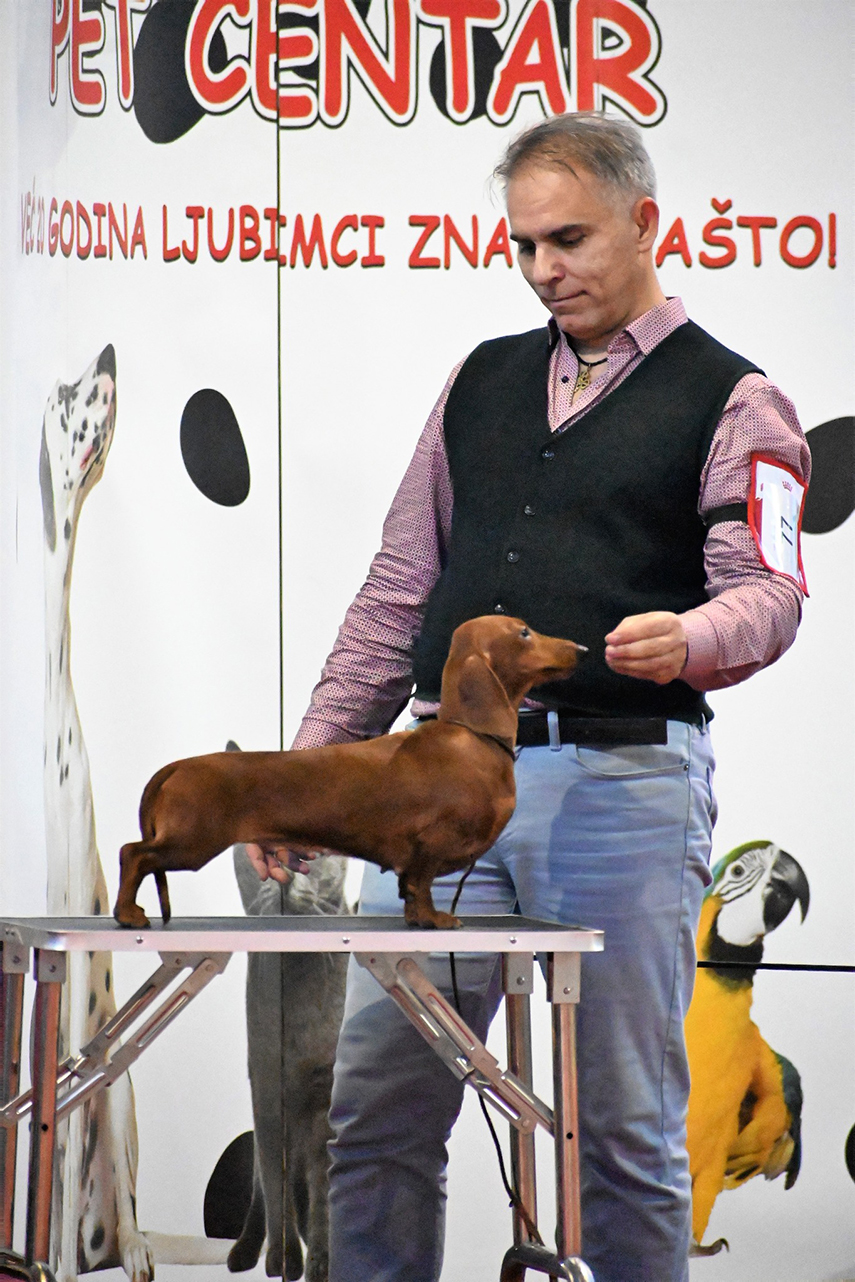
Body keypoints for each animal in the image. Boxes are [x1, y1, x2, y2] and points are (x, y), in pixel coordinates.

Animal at [114, 616, 584, 931]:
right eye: (523, 633)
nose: (581, 650)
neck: (469, 736)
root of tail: (178, 766)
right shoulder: (430, 845)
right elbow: (423, 884)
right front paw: (435, 919)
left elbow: (411, 890)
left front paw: (418, 919)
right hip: (190, 842)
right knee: (133, 854)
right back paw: (128, 914)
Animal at [228, 815, 348, 1281]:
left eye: (309, 858)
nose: (286, 875)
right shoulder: (266, 1085)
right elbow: (275, 1182)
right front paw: (283, 1259)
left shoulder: (326, 1094)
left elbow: (323, 1190)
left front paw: (321, 1262)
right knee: (263, 1185)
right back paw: (244, 1252)